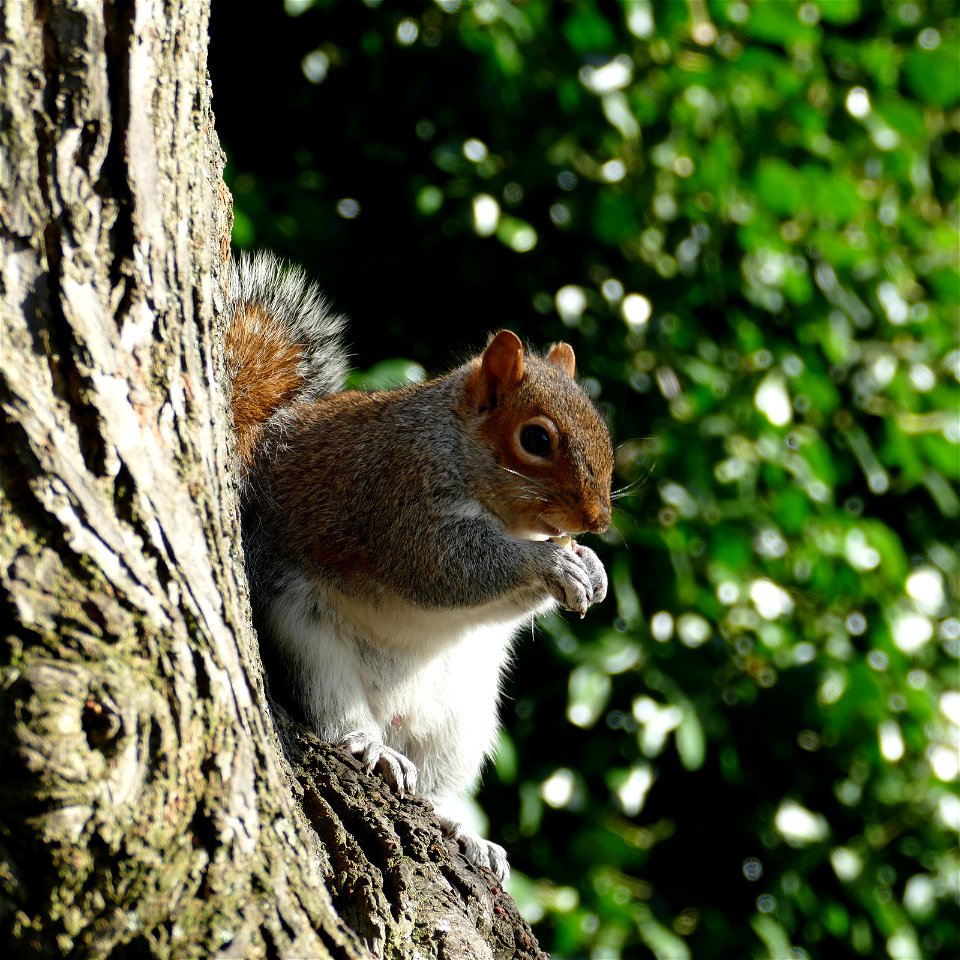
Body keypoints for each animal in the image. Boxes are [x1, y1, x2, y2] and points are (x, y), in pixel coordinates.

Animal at [226, 251, 616, 880]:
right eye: (535, 439)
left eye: (602, 427)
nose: (597, 520)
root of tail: (395, 714)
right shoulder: (398, 500)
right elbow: (448, 567)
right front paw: (552, 563)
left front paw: (591, 566)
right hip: (306, 639)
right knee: (334, 717)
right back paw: (374, 749)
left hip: (461, 721)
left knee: (432, 789)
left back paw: (463, 829)